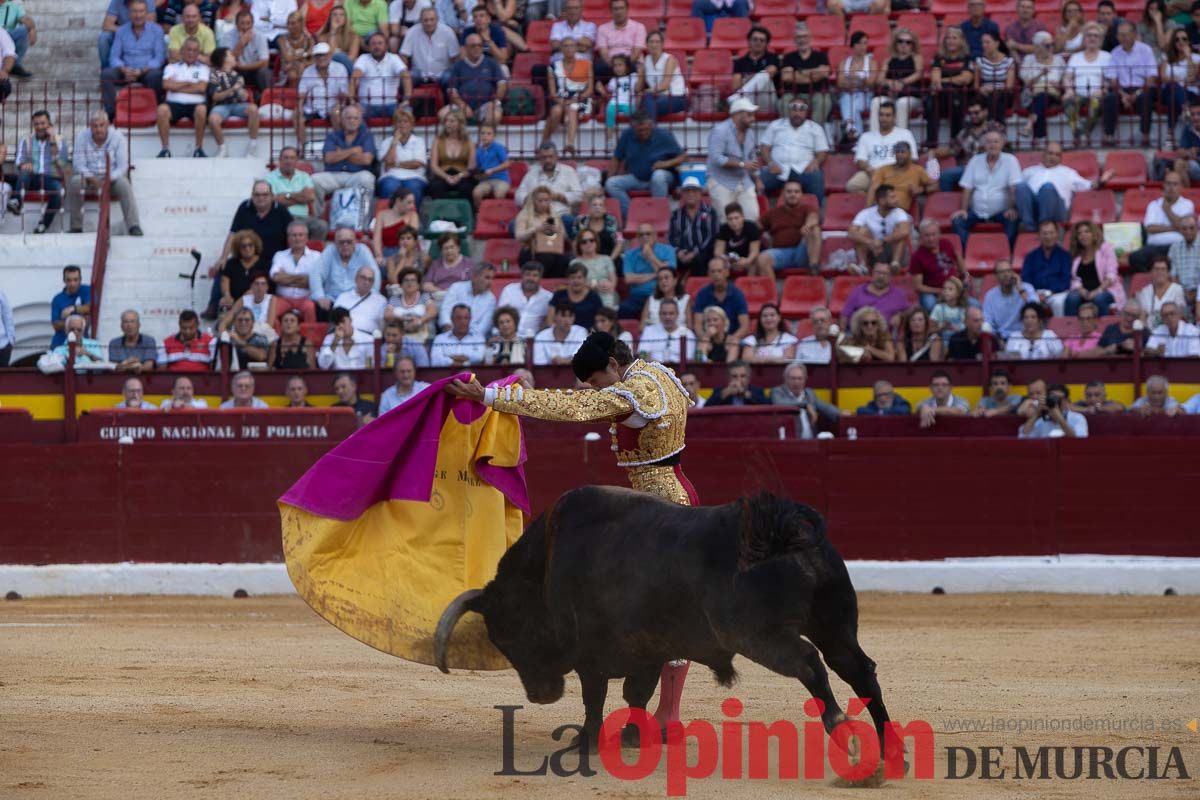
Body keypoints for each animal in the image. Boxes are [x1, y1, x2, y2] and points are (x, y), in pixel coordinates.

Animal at [436, 489, 897, 762]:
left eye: (508, 636)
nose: (539, 695)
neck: (548, 561)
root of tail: (785, 528)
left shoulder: (591, 654)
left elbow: (596, 698)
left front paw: (586, 742)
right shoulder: (648, 649)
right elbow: (636, 694)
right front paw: (631, 737)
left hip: (759, 636)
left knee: (809, 664)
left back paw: (843, 730)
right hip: (834, 626)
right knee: (858, 670)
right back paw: (890, 749)